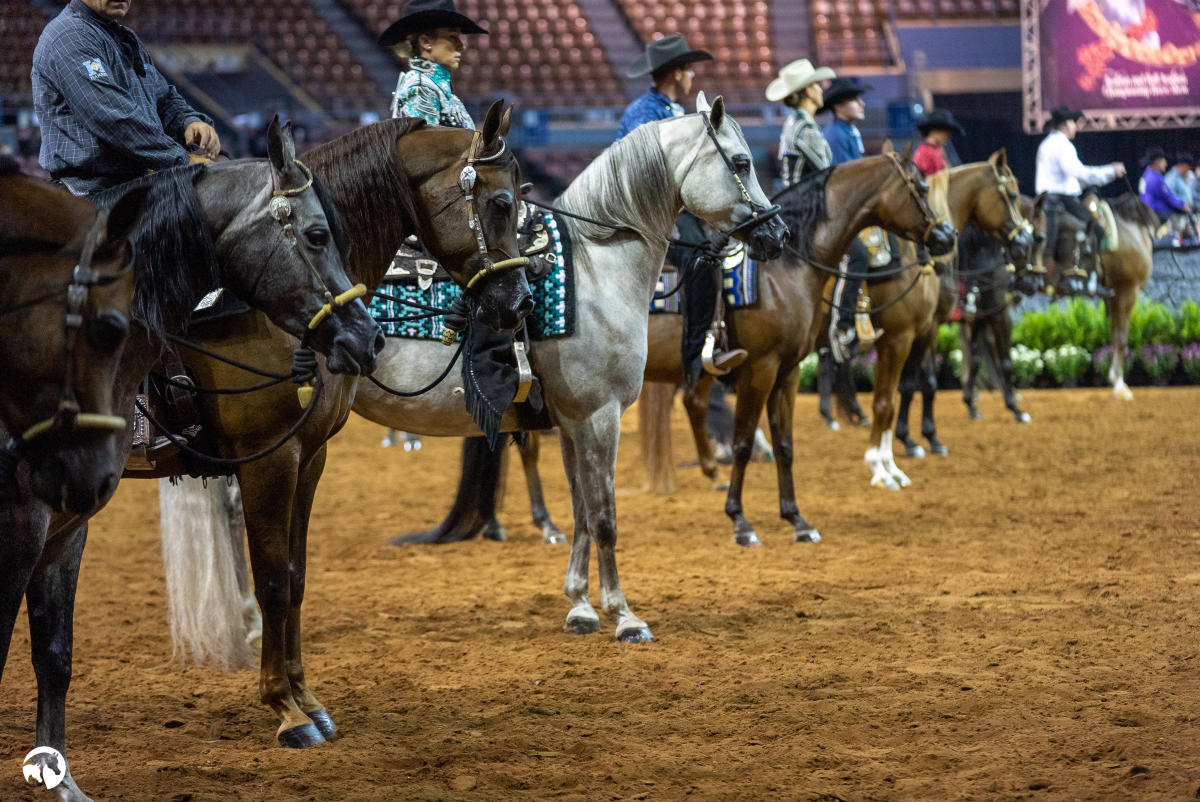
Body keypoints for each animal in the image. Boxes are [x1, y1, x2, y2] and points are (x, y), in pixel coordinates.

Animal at [148, 102, 535, 753]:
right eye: (503, 203)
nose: (520, 301)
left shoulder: (310, 455)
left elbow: (296, 576)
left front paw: (306, 697)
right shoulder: (267, 458)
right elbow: (273, 579)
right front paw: (285, 709)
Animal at [162, 100, 787, 681]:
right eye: (742, 162)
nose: (777, 232)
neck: (597, 268)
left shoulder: (571, 420)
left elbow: (583, 509)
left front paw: (581, 606)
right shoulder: (599, 414)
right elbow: (606, 514)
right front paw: (624, 616)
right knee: (240, 515)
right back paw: (253, 620)